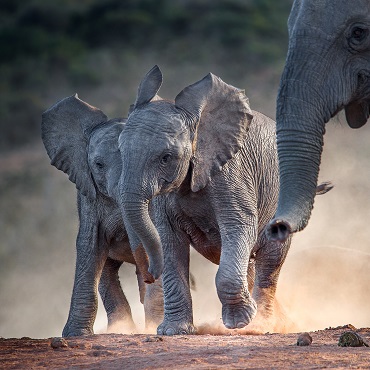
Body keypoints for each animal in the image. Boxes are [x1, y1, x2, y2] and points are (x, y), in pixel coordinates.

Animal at [41, 94, 163, 336]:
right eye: (98, 164)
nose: (150, 274)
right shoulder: (88, 194)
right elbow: (90, 244)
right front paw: (75, 335)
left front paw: (155, 326)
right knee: (107, 272)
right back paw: (122, 327)